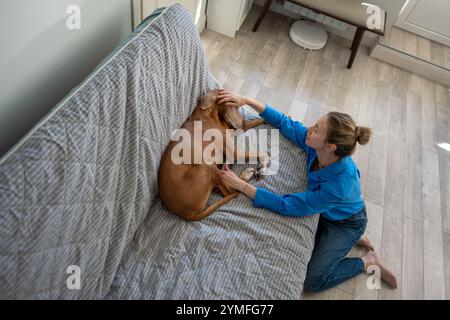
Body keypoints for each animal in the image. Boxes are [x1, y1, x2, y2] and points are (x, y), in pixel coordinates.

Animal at [158, 89, 268, 221]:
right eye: (232, 104)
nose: (242, 121)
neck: (209, 114)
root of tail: (185, 214)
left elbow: (253, 123)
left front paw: (265, 119)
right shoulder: (234, 152)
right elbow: (261, 153)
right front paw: (264, 165)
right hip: (205, 166)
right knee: (230, 192)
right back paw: (245, 175)